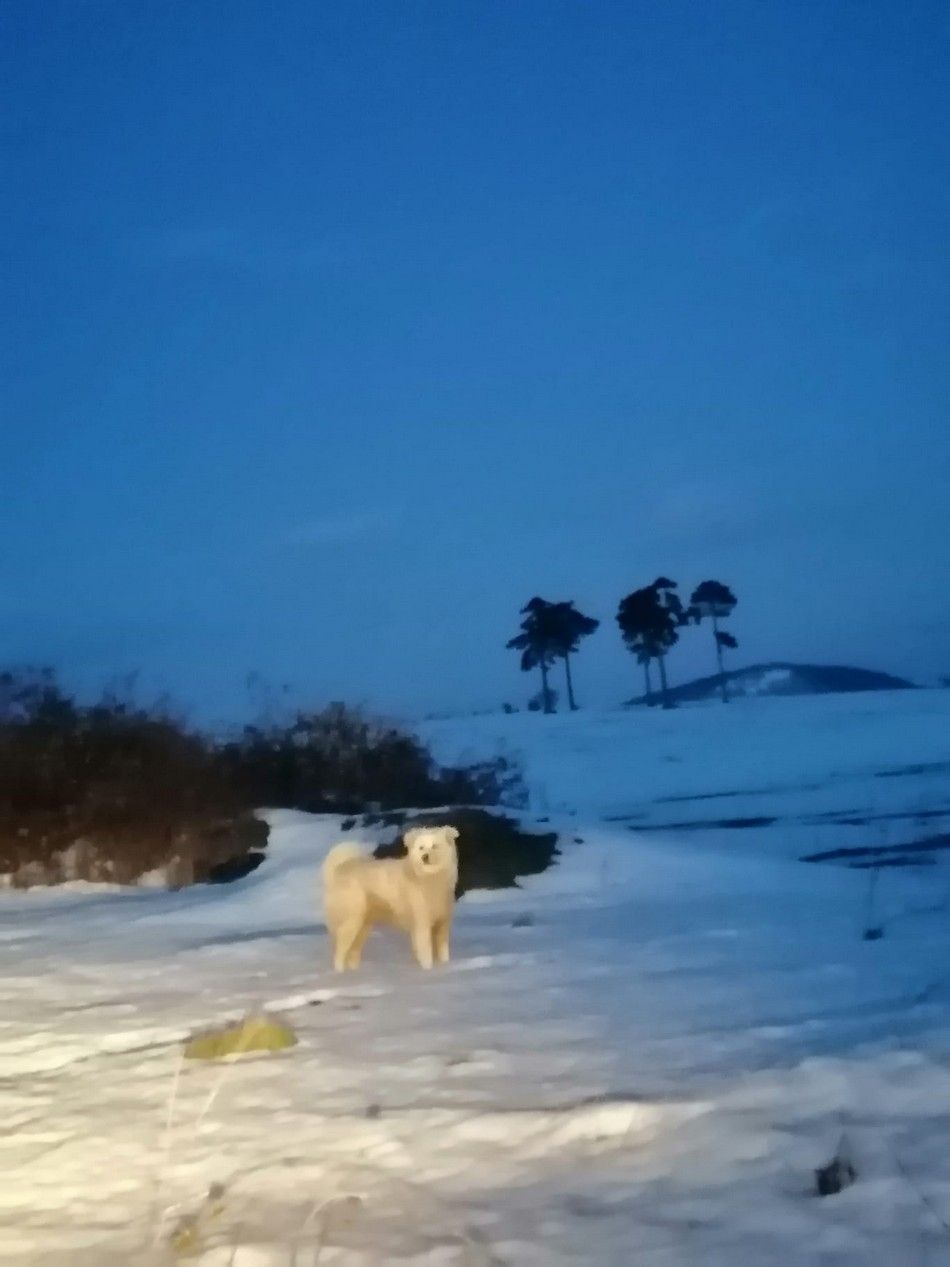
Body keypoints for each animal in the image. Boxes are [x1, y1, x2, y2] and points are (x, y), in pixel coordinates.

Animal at [322, 825, 459, 972]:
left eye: (435, 846)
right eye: (421, 847)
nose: (424, 857)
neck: (429, 879)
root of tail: (339, 869)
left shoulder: (442, 923)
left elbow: (443, 952)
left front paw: (444, 967)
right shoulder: (422, 923)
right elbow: (426, 952)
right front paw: (428, 970)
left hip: (363, 925)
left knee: (353, 952)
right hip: (351, 920)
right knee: (340, 952)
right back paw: (340, 973)